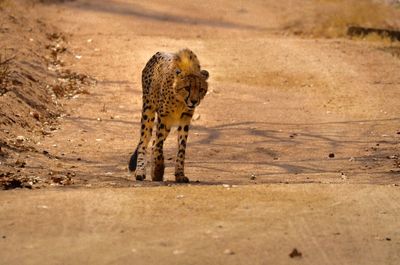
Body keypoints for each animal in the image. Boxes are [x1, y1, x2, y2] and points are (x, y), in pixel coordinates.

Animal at [128, 49, 209, 182]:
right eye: (187, 87)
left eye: (201, 89)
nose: (194, 101)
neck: (180, 100)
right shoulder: (163, 116)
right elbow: (159, 145)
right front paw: (158, 169)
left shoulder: (185, 118)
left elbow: (181, 149)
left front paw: (179, 174)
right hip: (148, 111)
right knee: (144, 142)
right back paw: (140, 171)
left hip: (168, 124)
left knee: (153, 142)